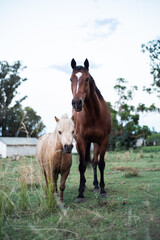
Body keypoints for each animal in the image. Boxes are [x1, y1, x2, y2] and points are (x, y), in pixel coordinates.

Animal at [70, 58, 111, 202]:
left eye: (87, 79)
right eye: (71, 79)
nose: (77, 103)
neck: (94, 114)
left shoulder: (103, 140)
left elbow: (101, 164)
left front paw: (103, 190)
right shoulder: (81, 141)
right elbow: (82, 165)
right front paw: (80, 194)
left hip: (95, 143)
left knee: (94, 162)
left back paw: (96, 185)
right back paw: (84, 185)